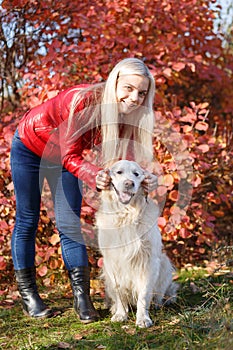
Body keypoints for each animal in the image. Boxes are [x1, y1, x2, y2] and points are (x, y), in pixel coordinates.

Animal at [95, 160, 177, 326]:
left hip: (164, 262)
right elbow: (119, 290)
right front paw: (121, 314)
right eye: (118, 172)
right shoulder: (112, 261)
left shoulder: (148, 261)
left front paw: (143, 318)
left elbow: (144, 294)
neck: (126, 214)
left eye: (136, 174)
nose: (129, 183)